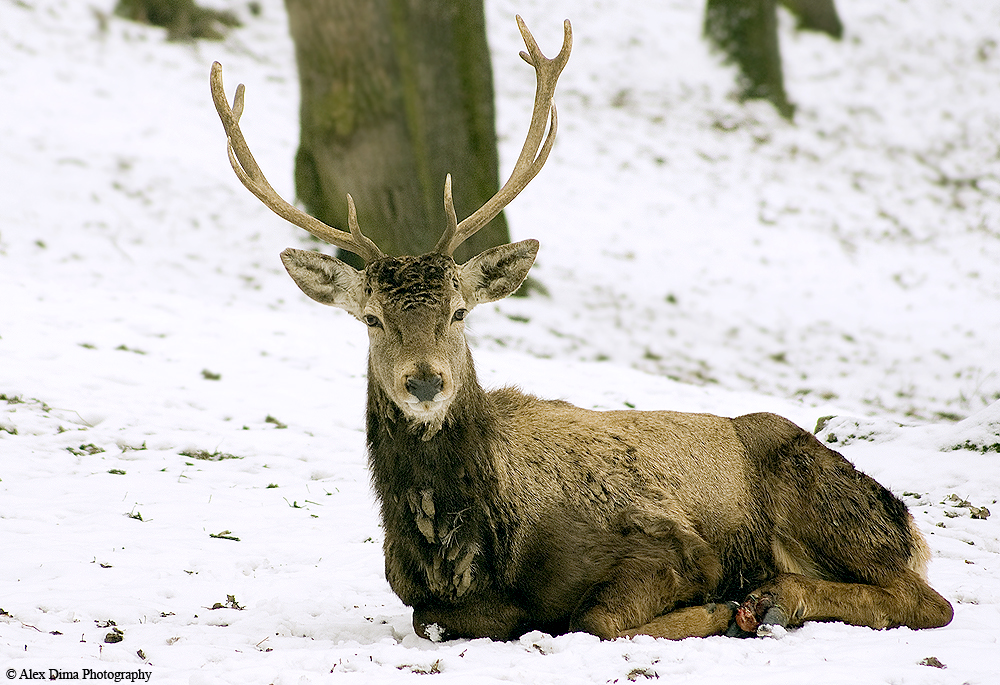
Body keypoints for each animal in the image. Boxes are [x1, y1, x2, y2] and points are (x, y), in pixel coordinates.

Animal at [209, 16, 952, 640]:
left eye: (458, 310)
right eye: (371, 318)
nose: (424, 382)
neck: (470, 546)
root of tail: (906, 521)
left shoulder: (673, 542)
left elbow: (595, 618)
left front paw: (724, 607)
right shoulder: (418, 595)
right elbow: (434, 618)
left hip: (824, 501)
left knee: (927, 598)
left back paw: (772, 598)